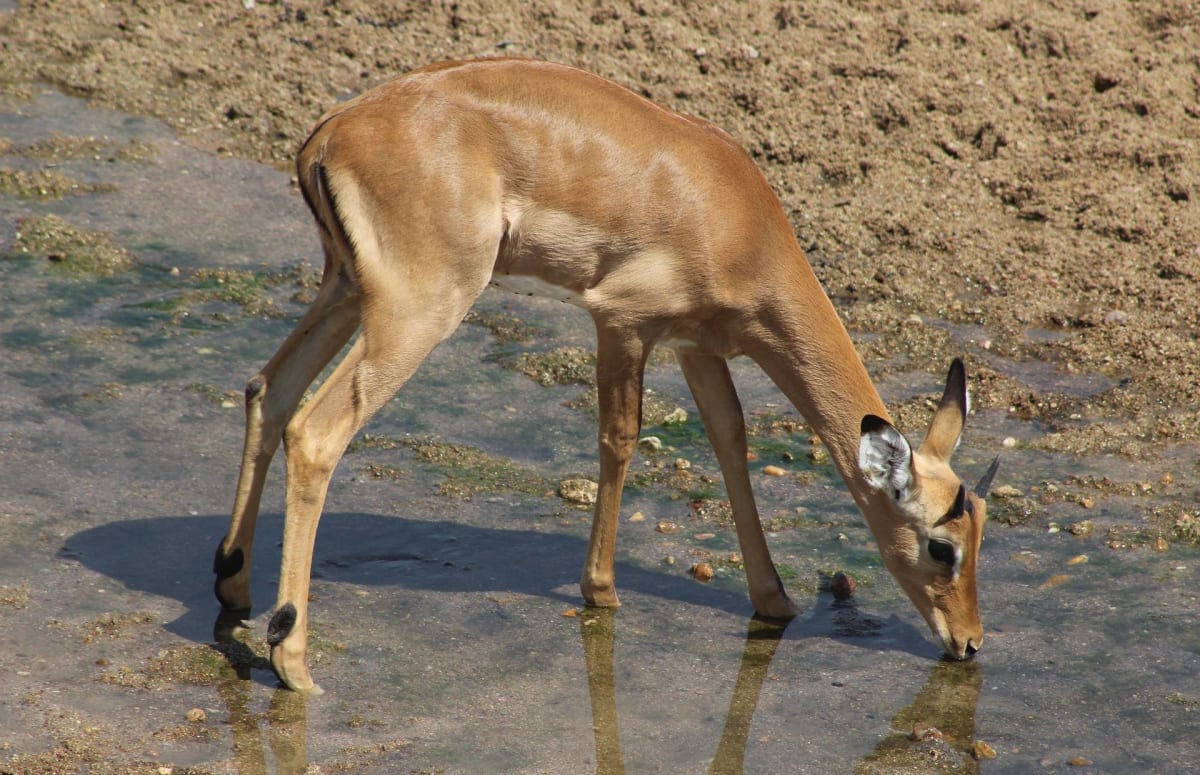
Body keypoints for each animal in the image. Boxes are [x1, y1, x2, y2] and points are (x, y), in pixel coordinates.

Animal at [213, 59, 993, 691]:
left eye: (981, 530)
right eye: (942, 544)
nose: (969, 643)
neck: (731, 212)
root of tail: (331, 132)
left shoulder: (697, 346)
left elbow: (731, 442)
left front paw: (774, 601)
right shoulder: (623, 323)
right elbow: (620, 440)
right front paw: (602, 590)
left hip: (345, 291)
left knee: (268, 391)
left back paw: (234, 589)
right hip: (415, 312)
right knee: (316, 432)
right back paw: (294, 663)